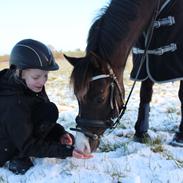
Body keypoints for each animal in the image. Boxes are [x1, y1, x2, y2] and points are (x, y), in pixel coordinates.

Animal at [65, 0, 182, 152]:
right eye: (77, 98)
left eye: (100, 99)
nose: (81, 147)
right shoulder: (146, 58)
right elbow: (145, 94)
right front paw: (141, 133)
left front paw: (179, 137)